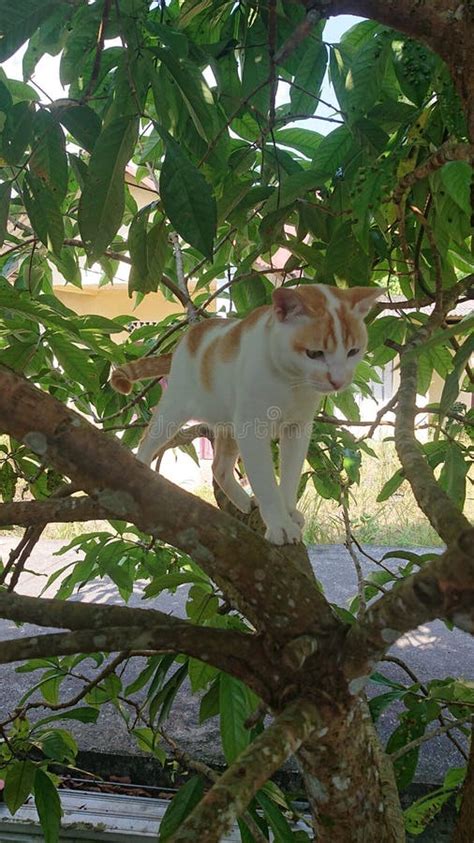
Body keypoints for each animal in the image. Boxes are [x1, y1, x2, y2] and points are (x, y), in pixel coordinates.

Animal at [112, 286, 386, 548]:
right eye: (314, 353)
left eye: (353, 351)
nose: (339, 380)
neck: (292, 383)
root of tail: (186, 338)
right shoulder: (253, 430)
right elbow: (265, 482)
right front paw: (280, 525)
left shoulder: (298, 429)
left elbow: (289, 476)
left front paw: (288, 512)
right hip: (174, 410)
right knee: (147, 443)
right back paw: (141, 473)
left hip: (230, 427)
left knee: (219, 467)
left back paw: (245, 501)